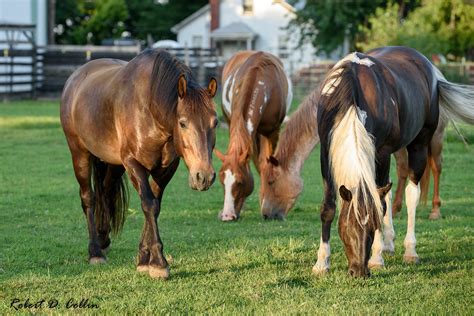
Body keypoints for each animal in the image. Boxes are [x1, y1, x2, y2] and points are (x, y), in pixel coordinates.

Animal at [59, 49, 220, 278]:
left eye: (215, 122)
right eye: (183, 123)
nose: (203, 176)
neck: (150, 108)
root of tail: (75, 78)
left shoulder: (165, 169)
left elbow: (155, 205)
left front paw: (144, 259)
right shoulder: (133, 163)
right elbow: (149, 204)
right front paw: (159, 262)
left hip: (114, 164)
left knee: (105, 191)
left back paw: (103, 237)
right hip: (80, 153)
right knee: (88, 197)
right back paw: (95, 251)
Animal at [312, 46, 474, 276]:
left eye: (372, 226)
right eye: (348, 226)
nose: (359, 272)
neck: (351, 94)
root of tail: (430, 69)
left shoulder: (382, 152)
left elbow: (380, 203)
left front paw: (376, 258)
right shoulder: (326, 151)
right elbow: (328, 207)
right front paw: (322, 262)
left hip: (420, 144)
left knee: (411, 193)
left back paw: (410, 251)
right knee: (387, 191)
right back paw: (389, 243)